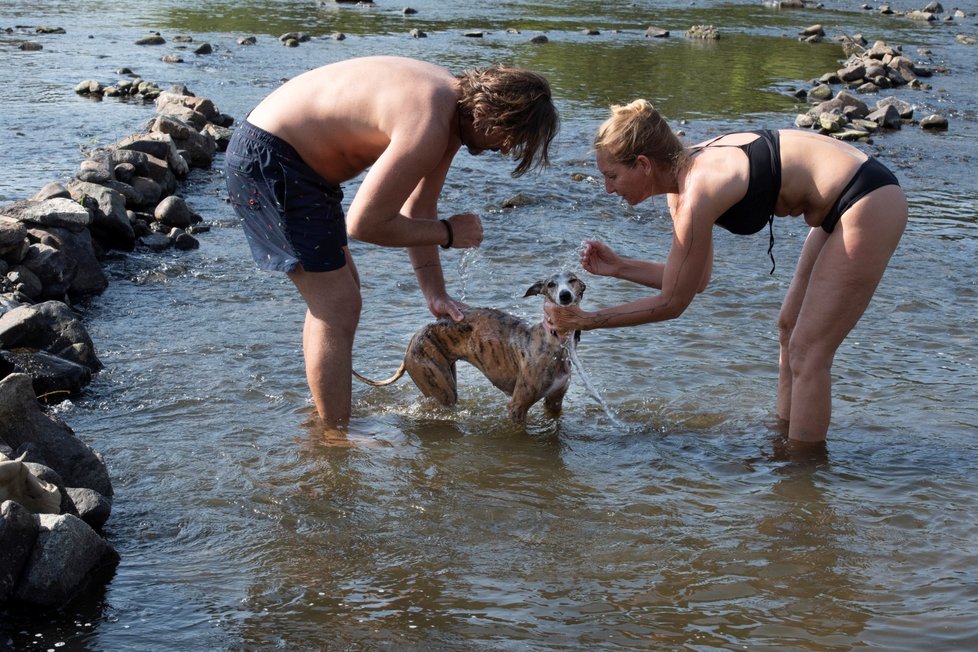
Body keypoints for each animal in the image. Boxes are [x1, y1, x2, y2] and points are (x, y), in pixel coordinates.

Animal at [352, 272, 584, 420]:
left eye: (572, 280)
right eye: (550, 284)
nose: (565, 296)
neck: (554, 341)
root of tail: (412, 340)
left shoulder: (554, 402)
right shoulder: (517, 406)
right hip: (441, 388)